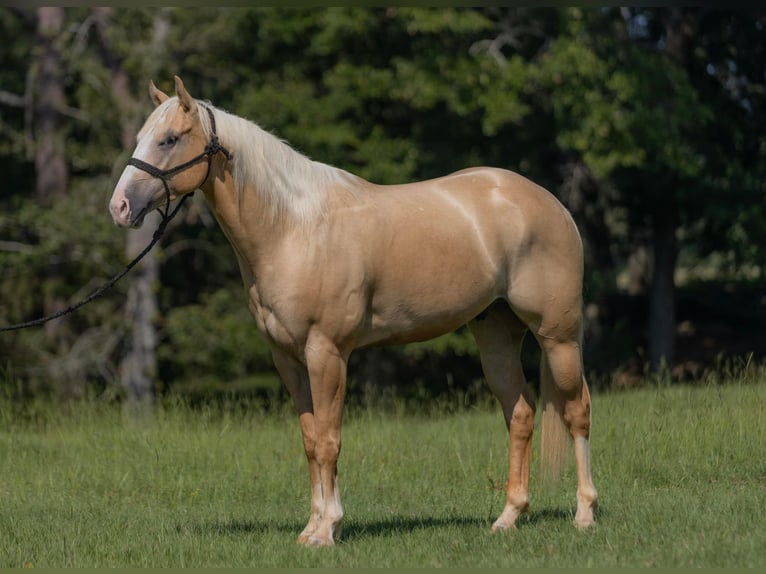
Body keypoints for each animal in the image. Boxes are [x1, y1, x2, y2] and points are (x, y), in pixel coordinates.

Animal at [108, 77, 600, 548]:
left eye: (170, 139)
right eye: (141, 136)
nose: (120, 207)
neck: (294, 229)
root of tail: (551, 204)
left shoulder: (327, 353)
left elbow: (330, 441)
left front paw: (327, 531)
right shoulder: (288, 359)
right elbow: (310, 441)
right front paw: (313, 528)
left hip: (557, 337)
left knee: (577, 412)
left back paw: (584, 515)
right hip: (496, 335)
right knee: (520, 414)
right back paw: (508, 518)